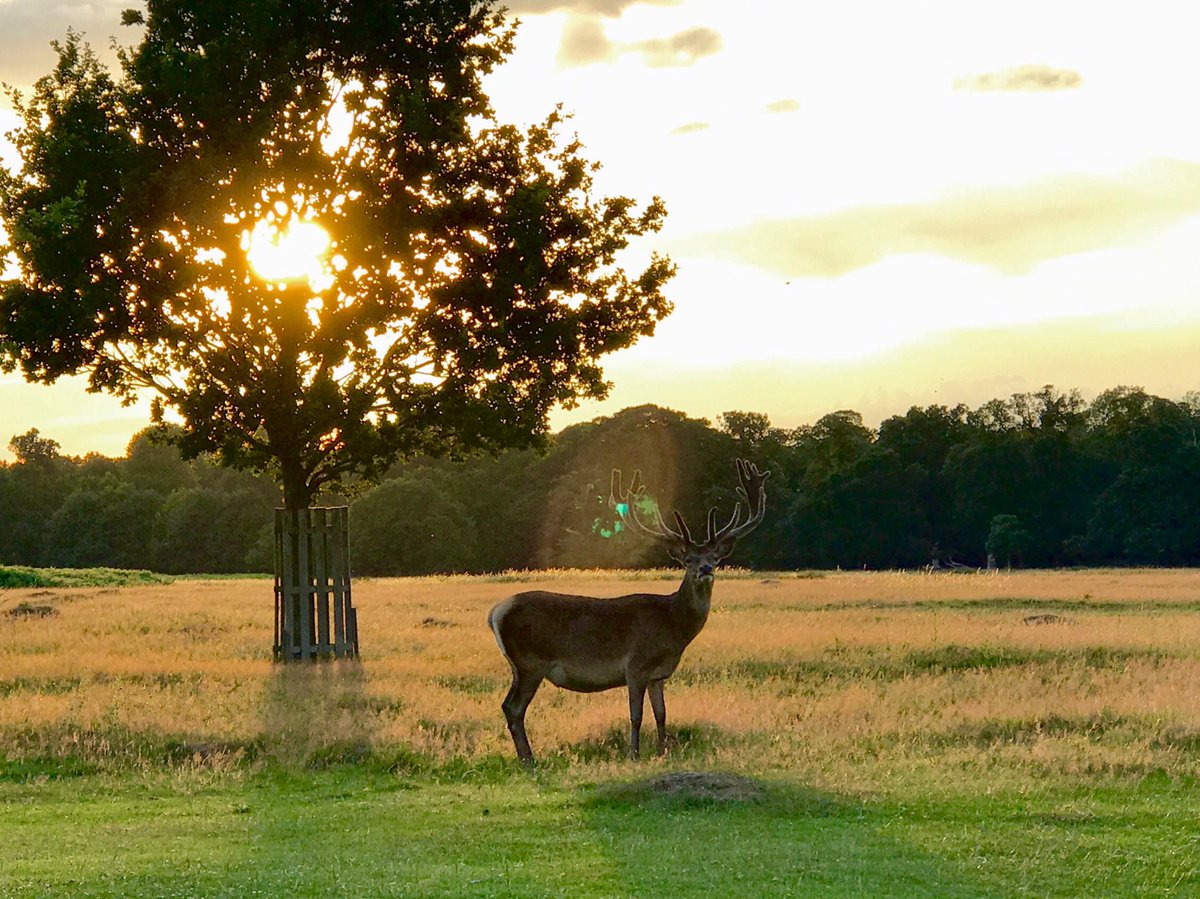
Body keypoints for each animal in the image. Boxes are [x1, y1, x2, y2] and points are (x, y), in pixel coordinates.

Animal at [487, 459, 769, 765]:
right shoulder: (635, 665)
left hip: (520, 666)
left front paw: (662, 752)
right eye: (687, 559)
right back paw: (529, 760)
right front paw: (634, 754)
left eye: (715, 557)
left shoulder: (659, 674)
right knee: (514, 708)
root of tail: (495, 613)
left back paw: (527, 758)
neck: (672, 625)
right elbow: (636, 715)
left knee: (508, 706)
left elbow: (661, 714)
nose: (705, 569)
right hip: (531, 661)